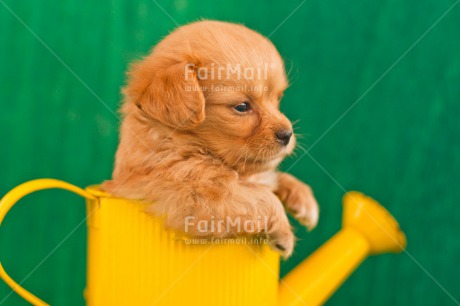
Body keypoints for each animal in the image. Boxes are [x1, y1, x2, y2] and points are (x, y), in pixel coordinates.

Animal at [103, 19, 320, 258]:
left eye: (278, 98)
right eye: (242, 107)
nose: (287, 134)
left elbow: (270, 179)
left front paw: (303, 197)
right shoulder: (197, 200)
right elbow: (262, 197)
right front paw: (283, 231)